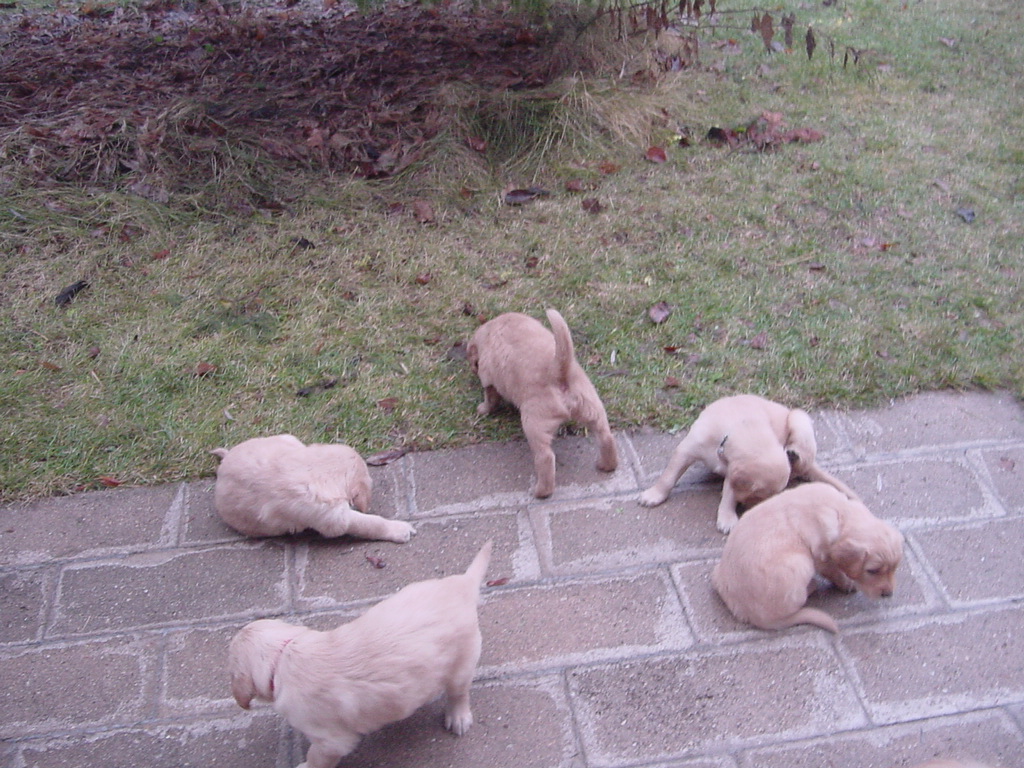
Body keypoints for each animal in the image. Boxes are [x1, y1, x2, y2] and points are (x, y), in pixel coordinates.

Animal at [230, 540, 493, 768]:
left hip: (463, 663)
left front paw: (305, 765)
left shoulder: (331, 740)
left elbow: (317, 758)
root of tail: (462, 585)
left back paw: (458, 717)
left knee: (458, 693)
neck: (283, 657)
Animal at [712, 483, 905, 634]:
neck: (840, 512)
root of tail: (753, 615)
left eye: (894, 569)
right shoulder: (822, 557)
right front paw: (847, 584)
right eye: (872, 571)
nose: (888, 594)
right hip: (801, 563)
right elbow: (835, 572)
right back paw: (812, 585)